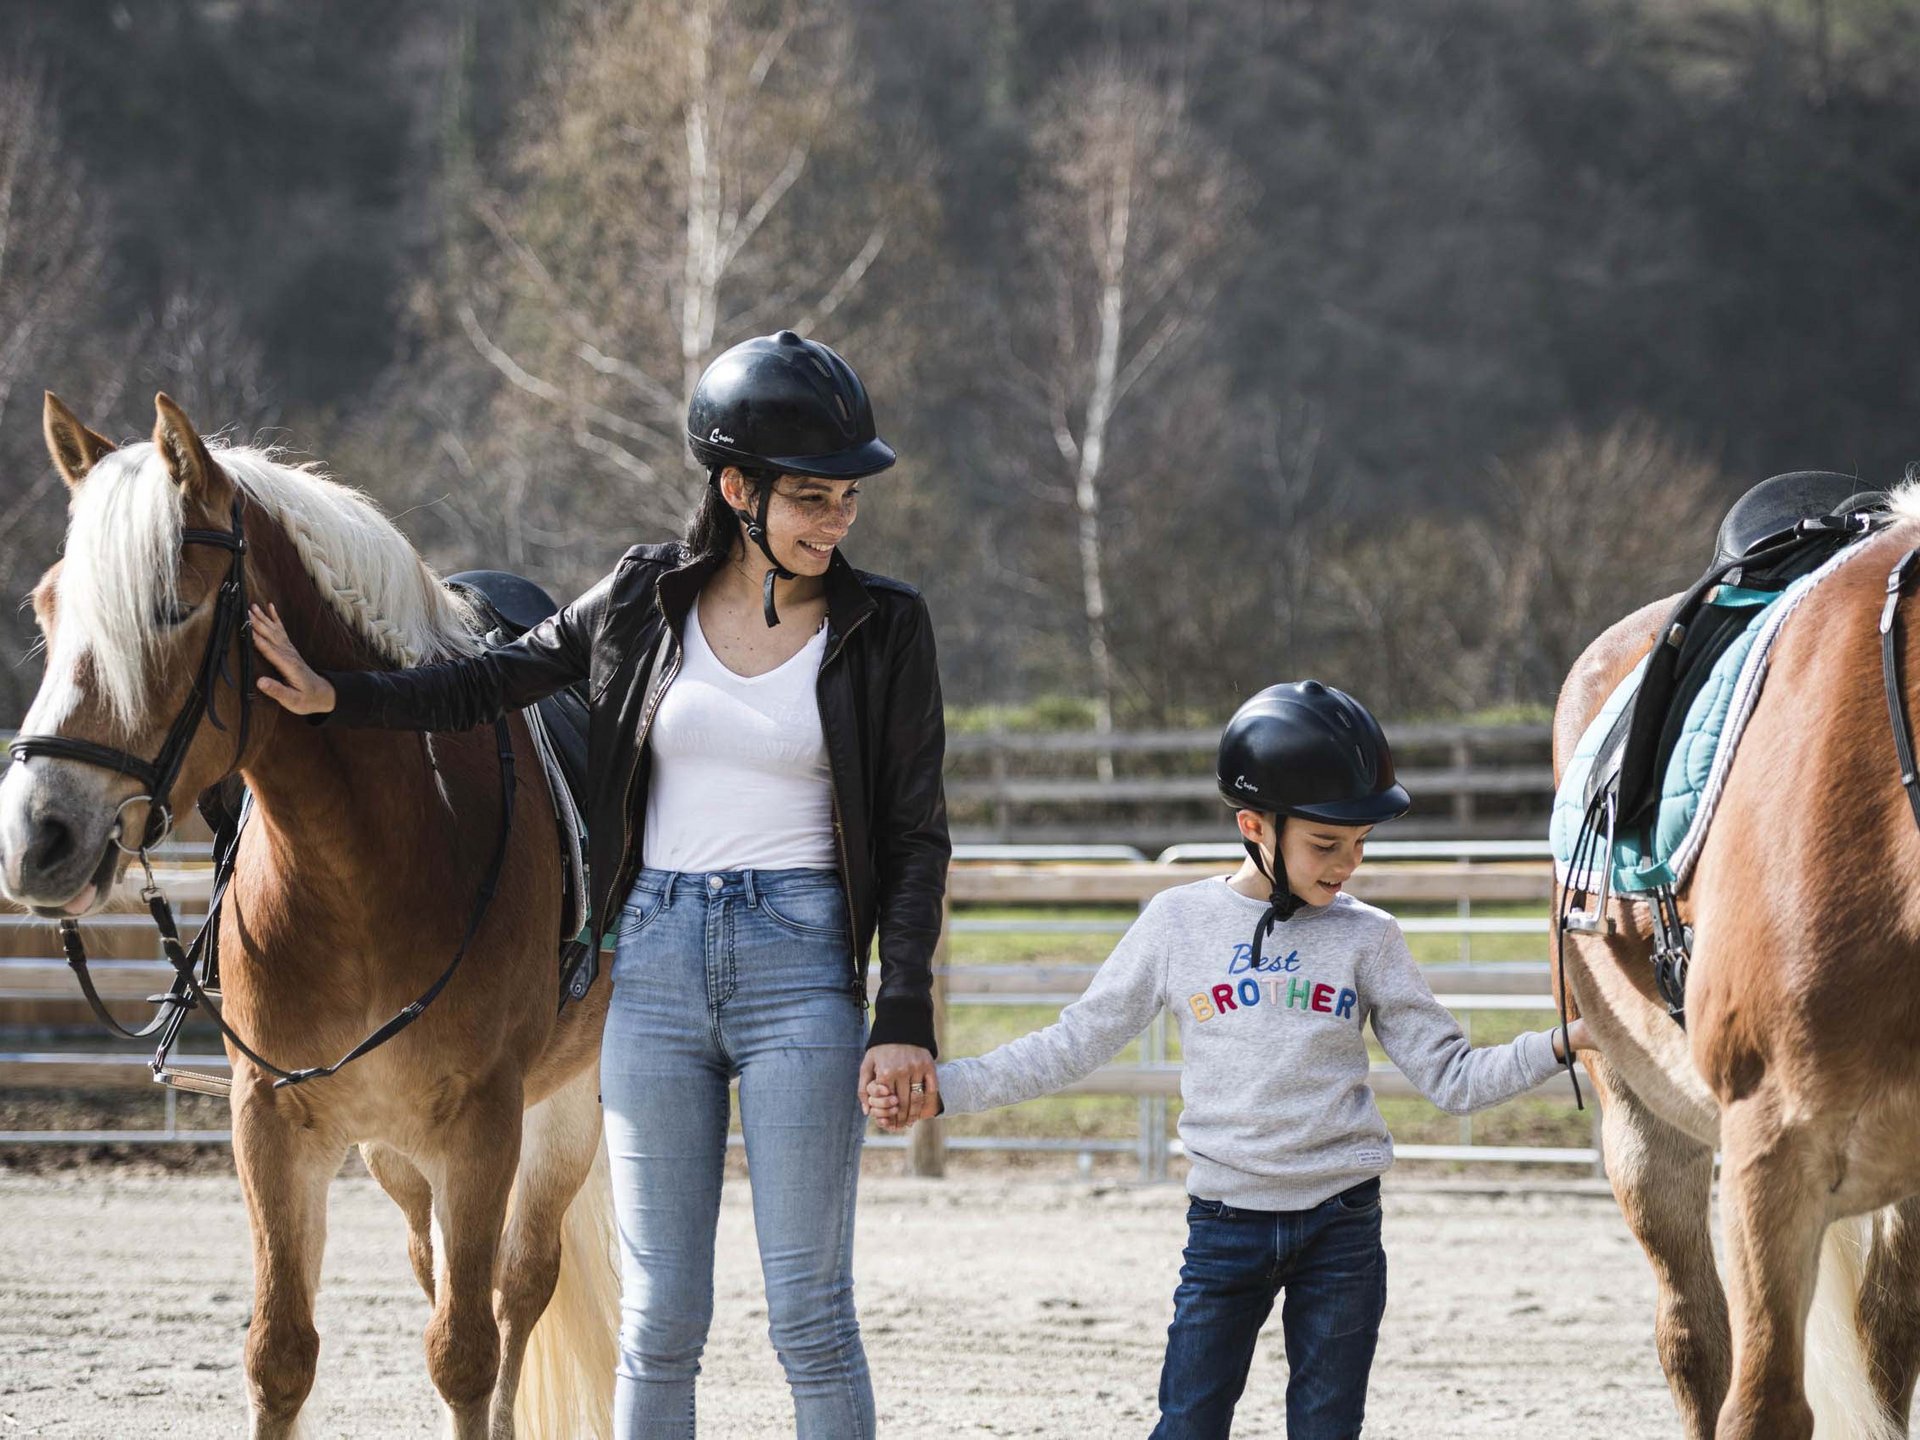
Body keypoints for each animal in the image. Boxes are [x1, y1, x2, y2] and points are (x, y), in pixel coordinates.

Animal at [0, 395, 614, 1440]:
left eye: (174, 606)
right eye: (47, 608)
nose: (41, 835)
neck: (367, 868)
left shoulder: (485, 1127)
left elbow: (467, 1352)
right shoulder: (274, 1126)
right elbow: (280, 1356)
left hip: (561, 1111)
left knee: (517, 1288)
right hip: (393, 1151)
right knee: (440, 1271)